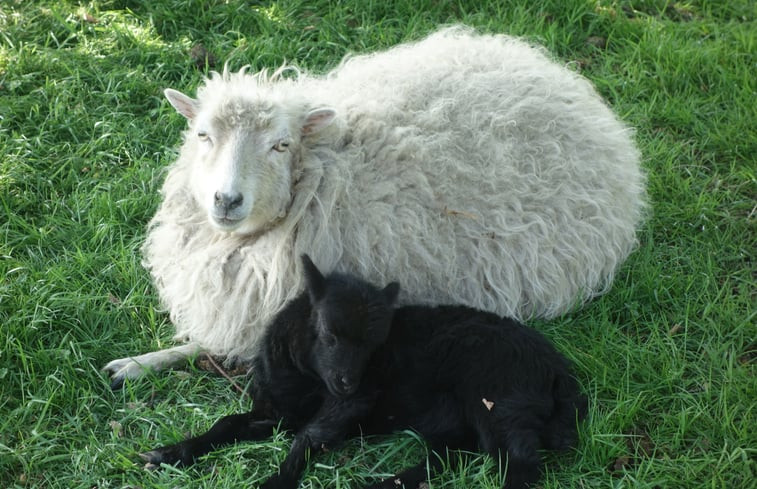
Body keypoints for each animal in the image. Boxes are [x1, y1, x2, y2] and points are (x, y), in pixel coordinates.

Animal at [102, 26, 644, 386]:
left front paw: (140, 363)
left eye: (280, 145)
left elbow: (215, 343)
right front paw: (137, 361)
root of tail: (571, 87)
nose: (226, 199)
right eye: (202, 135)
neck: (325, 173)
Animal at [140, 254, 584, 486]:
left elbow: (307, 436)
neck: (303, 379)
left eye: (375, 343)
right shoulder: (277, 412)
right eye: (328, 333)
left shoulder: (347, 405)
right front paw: (171, 453)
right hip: (462, 417)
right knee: (451, 456)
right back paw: (391, 483)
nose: (347, 382)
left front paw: (275, 482)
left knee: (520, 462)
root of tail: (556, 366)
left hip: (498, 399)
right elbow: (226, 424)